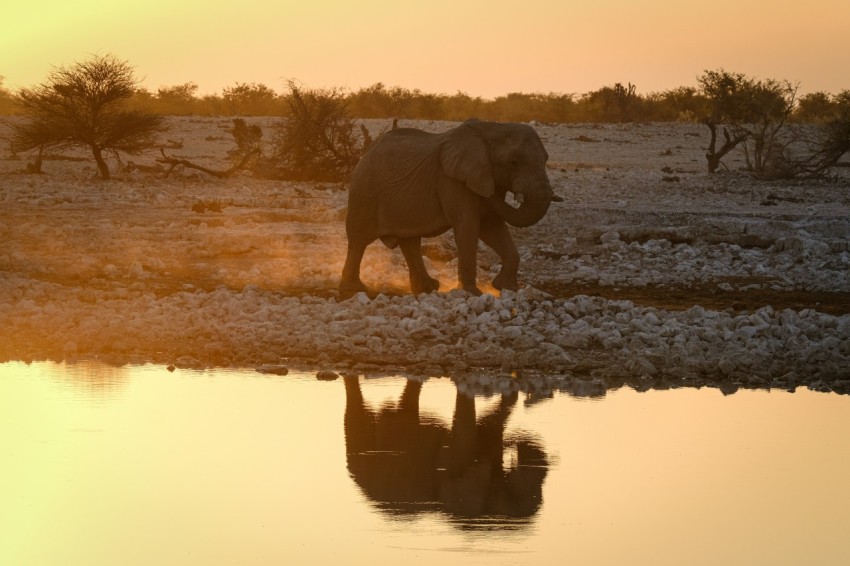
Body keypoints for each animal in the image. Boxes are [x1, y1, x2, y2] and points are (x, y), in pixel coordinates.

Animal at [339, 119, 558, 296]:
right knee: (359, 240)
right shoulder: (452, 181)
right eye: (513, 163)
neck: (492, 128)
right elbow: (468, 227)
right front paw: (472, 293)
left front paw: (507, 288)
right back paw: (355, 290)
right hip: (364, 190)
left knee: (410, 242)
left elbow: (492, 227)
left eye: (546, 159)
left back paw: (428, 289)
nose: (489, 194)